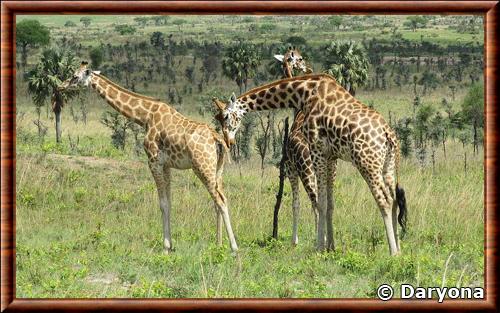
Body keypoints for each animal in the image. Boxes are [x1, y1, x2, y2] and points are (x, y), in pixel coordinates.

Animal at [58, 61, 238, 254]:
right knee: (219, 199)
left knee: (220, 200)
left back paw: (234, 248)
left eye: (75, 76)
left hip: (202, 167)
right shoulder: (166, 165)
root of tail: (217, 139)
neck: (145, 116)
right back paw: (219, 245)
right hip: (218, 169)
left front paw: (165, 247)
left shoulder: (153, 161)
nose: (61, 86)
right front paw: (170, 245)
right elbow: (169, 202)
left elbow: (162, 203)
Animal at [214, 74, 406, 255]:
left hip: (367, 162)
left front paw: (319, 247)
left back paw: (392, 251)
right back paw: (399, 249)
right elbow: (329, 203)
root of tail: (388, 134)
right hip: (388, 166)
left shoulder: (316, 149)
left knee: (385, 200)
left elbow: (319, 203)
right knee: (395, 199)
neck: (304, 94)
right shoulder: (331, 156)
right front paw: (331, 246)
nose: (228, 141)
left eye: (226, 116)